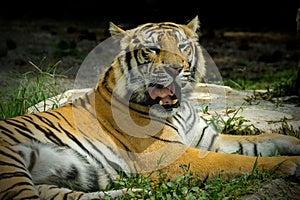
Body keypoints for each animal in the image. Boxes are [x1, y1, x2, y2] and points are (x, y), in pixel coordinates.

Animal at [0, 16, 300, 199]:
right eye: (152, 49)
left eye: (182, 46)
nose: (176, 68)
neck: (181, 109)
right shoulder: (175, 155)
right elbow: (241, 162)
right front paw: (291, 165)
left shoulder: (210, 141)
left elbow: (267, 140)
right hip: (11, 168)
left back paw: (137, 192)